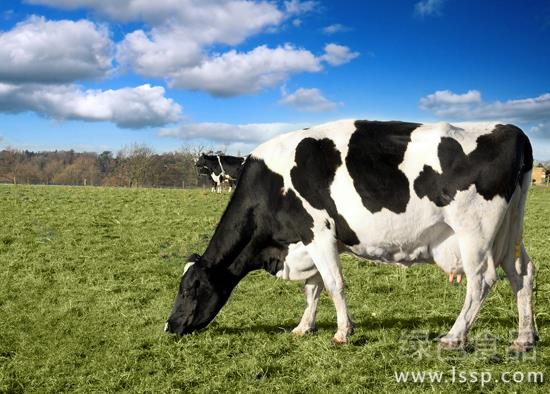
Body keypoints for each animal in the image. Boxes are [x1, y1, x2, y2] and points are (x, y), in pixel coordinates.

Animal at [166, 121, 536, 354]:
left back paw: (454, 337)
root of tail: (513, 130)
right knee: (521, 273)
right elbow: (313, 288)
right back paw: (524, 338)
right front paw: (304, 327)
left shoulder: (317, 232)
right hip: (510, 230)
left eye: (189, 289)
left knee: (481, 280)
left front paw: (343, 332)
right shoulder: (309, 242)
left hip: (474, 231)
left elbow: (333, 285)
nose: (170, 326)